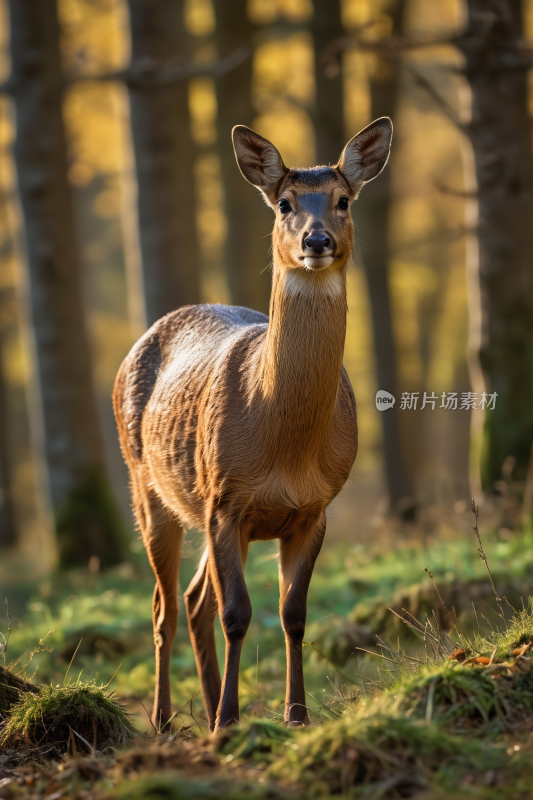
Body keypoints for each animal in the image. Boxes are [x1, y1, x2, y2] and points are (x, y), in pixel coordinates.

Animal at [112, 115, 392, 736]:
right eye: (284, 203)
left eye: (343, 200)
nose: (317, 241)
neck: (283, 447)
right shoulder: (226, 499)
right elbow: (238, 614)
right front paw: (227, 719)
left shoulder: (314, 508)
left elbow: (293, 614)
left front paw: (295, 715)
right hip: (147, 485)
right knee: (165, 606)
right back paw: (166, 719)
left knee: (194, 600)